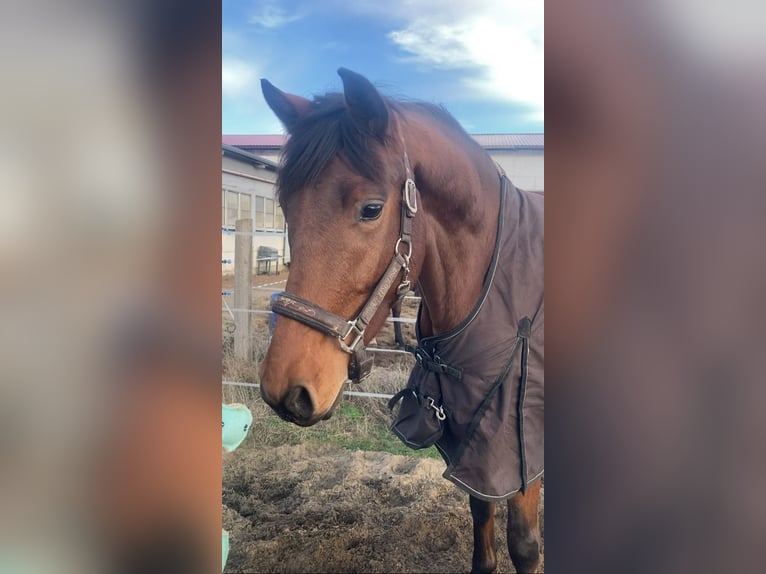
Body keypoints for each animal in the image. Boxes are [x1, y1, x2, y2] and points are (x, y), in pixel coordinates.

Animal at [260, 68, 544, 574]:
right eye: (287, 208)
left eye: (371, 209)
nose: (285, 391)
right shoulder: (471, 442)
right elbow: (482, 521)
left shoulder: (518, 445)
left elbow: (525, 545)